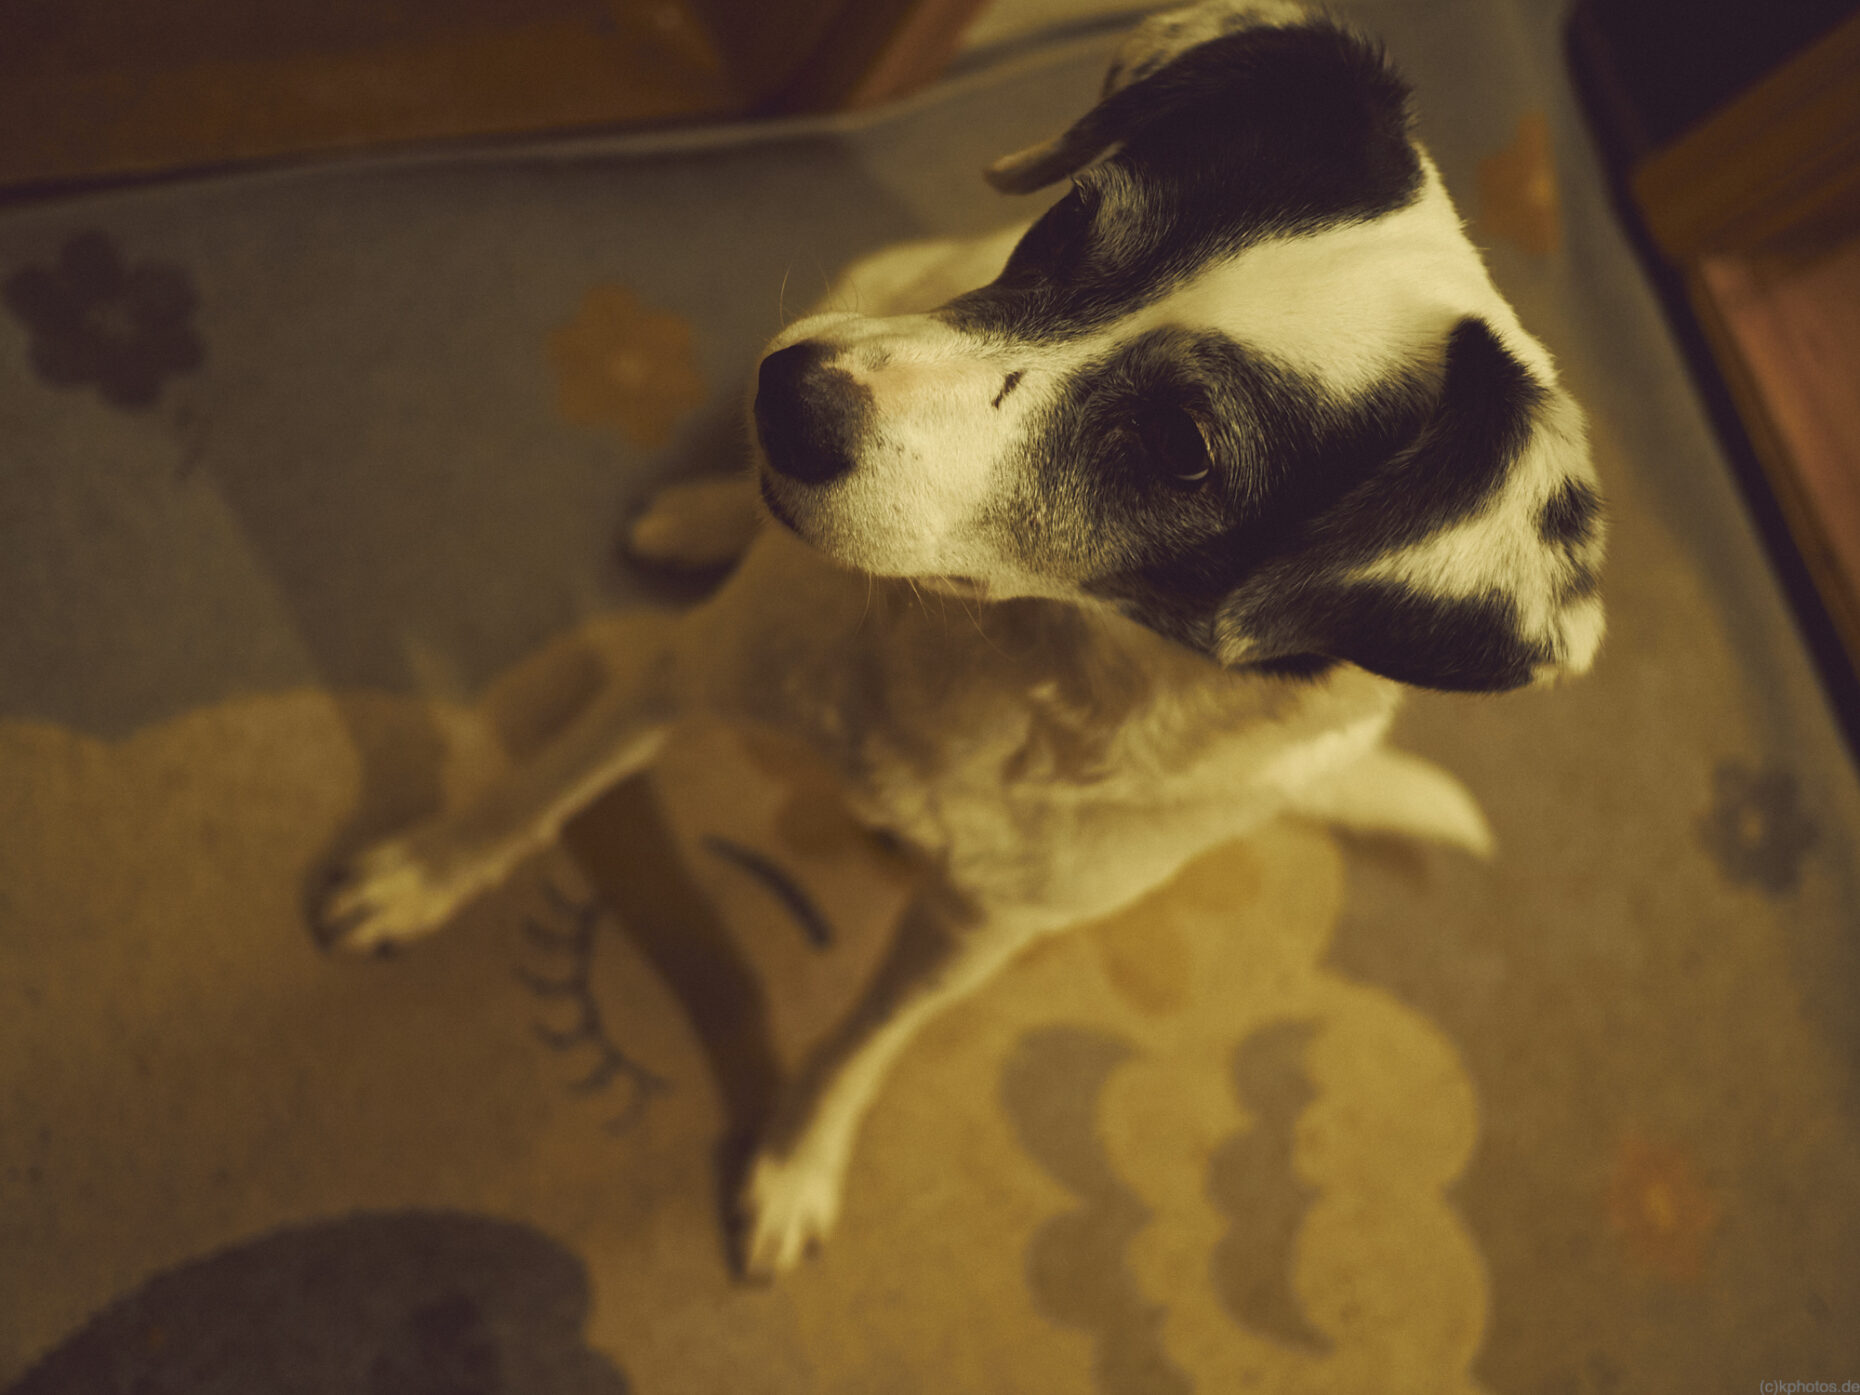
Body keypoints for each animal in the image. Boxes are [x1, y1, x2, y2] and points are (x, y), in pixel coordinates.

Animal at [316, 0, 1599, 1287]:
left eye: (1185, 449)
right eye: (1075, 216)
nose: (790, 399)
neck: (1008, 662)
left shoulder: (976, 928)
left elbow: (864, 1041)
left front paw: (797, 1160)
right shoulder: (688, 672)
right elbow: (536, 793)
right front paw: (421, 878)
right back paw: (702, 515)